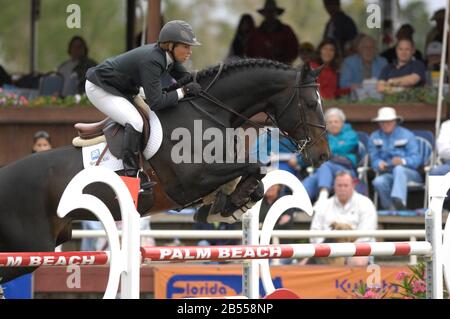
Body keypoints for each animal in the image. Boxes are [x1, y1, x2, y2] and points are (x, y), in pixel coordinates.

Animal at [0, 59, 330, 284]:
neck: (208, 112)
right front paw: (230, 204)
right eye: (310, 103)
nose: (323, 155)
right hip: (30, 249)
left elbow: (253, 177)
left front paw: (230, 205)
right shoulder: (192, 181)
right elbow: (253, 166)